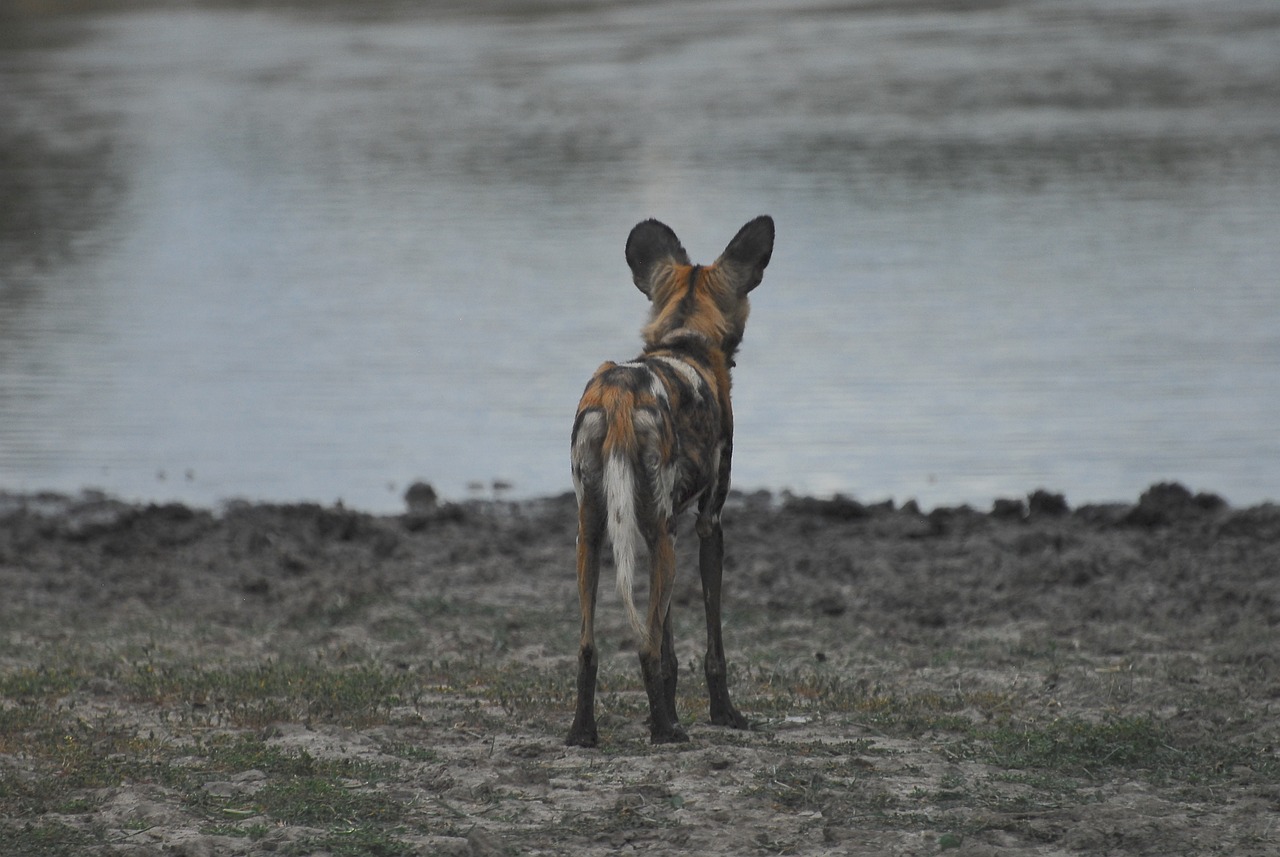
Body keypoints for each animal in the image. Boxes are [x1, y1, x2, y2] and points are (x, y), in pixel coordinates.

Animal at [568, 214, 768, 746]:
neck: (684, 340)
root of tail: (617, 394)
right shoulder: (706, 525)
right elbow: (710, 646)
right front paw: (723, 714)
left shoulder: (669, 526)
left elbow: (670, 648)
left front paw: (676, 710)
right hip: (659, 539)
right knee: (644, 647)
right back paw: (664, 733)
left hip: (595, 535)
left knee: (590, 647)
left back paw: (583, 732)